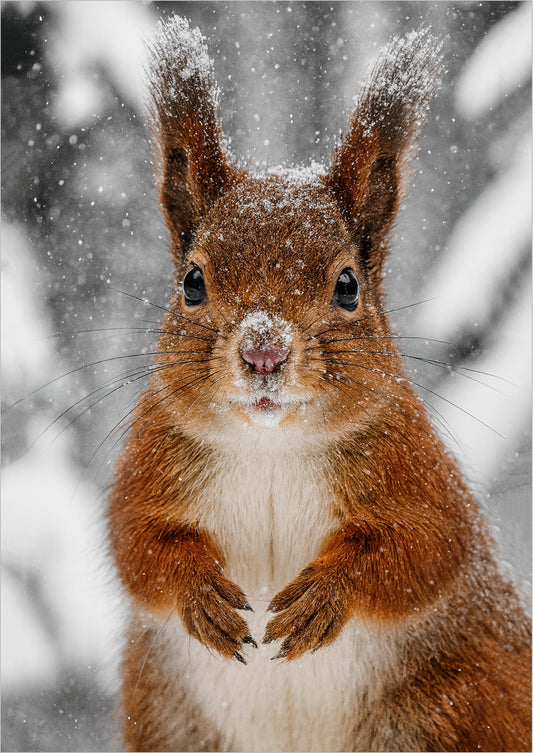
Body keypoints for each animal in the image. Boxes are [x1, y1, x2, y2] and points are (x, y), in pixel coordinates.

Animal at [107, 17, 531, 753]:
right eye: (192, 281)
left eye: (347, 285)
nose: (264, 352)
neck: (270, 445)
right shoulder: (153, 459)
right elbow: (137, 541)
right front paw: (199, 594)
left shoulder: (414, 468)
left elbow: (423, 550)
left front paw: (324, 598)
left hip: (451, 708)